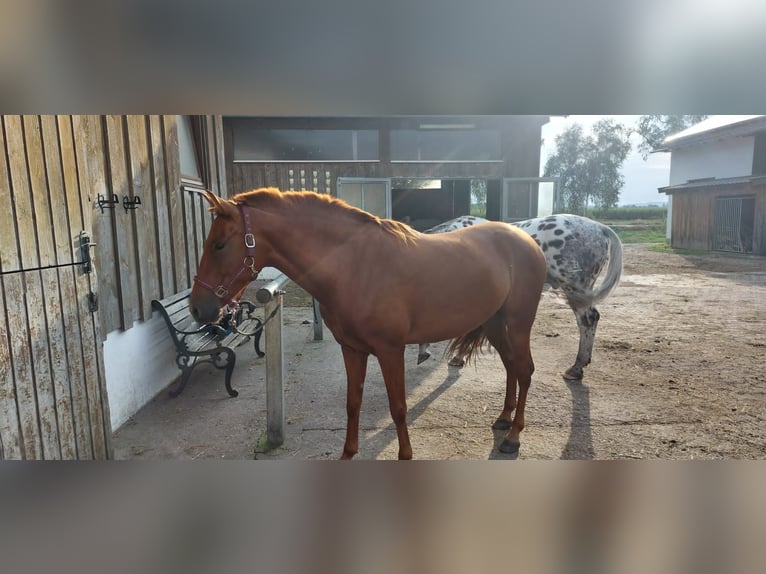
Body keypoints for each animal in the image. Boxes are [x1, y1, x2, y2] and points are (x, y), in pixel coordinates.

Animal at [189, 191, 548, 462]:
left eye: (219, 244)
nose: (197, 308)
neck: (355, 266)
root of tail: (526, 239)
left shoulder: (390, 350)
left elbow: (398, 407)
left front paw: (405, 455)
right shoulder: (352, 349)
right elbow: (353, 403)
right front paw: (348, 454)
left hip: (518, 324)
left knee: (525, 369)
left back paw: (513, 436)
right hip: (495, 323)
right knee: (511, 367)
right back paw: (503, 419)